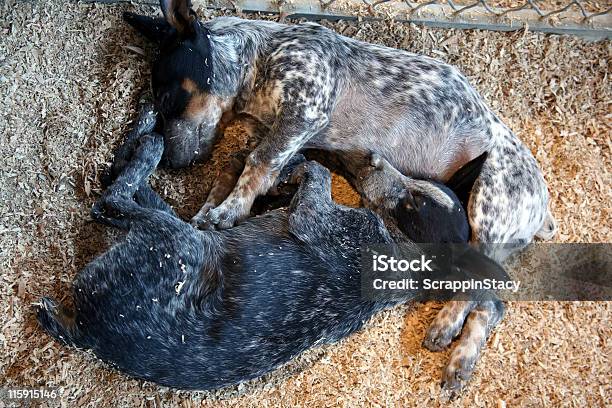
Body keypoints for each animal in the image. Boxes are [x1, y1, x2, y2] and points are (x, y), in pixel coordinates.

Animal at [124, 0, 556, 388]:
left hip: (488, 210)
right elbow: (239, 163)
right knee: (489, 300)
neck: (261, 60)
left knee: (487, 293)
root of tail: (542, 213)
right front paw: (210, 208)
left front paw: (229, 210)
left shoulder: (304, 110)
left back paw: (448, 337)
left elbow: (259, 162)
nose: (171, 162)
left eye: (167, 98)